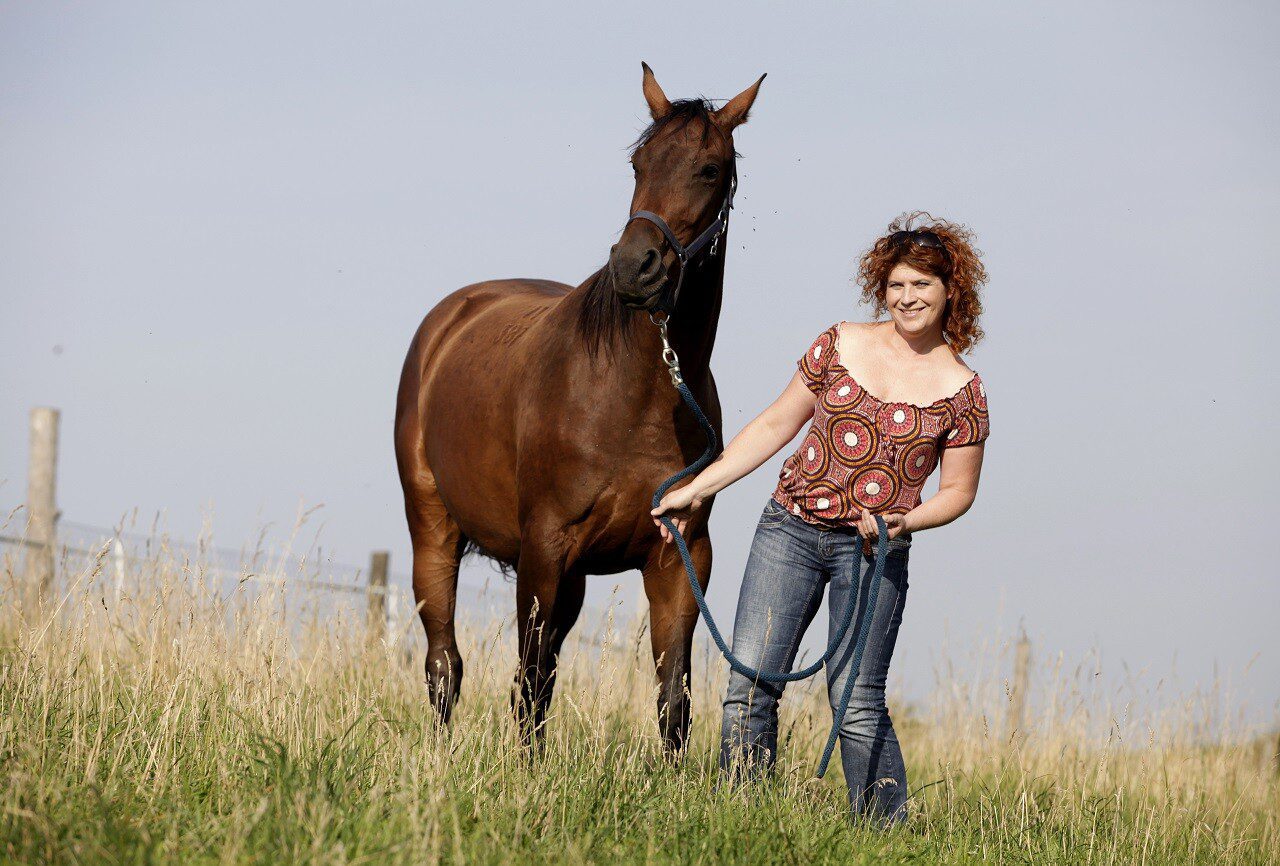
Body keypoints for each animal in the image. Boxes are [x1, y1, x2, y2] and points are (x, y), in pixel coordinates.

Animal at [394, 64, 762, 747]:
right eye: (638, 162)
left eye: (710, 168)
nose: (636, 267)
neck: (635, 397)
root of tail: (450, 318)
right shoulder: (544, 549)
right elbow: (529, 681)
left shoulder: (679, 557)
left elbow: (673, 700)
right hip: (433, 527)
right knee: (444, 662)